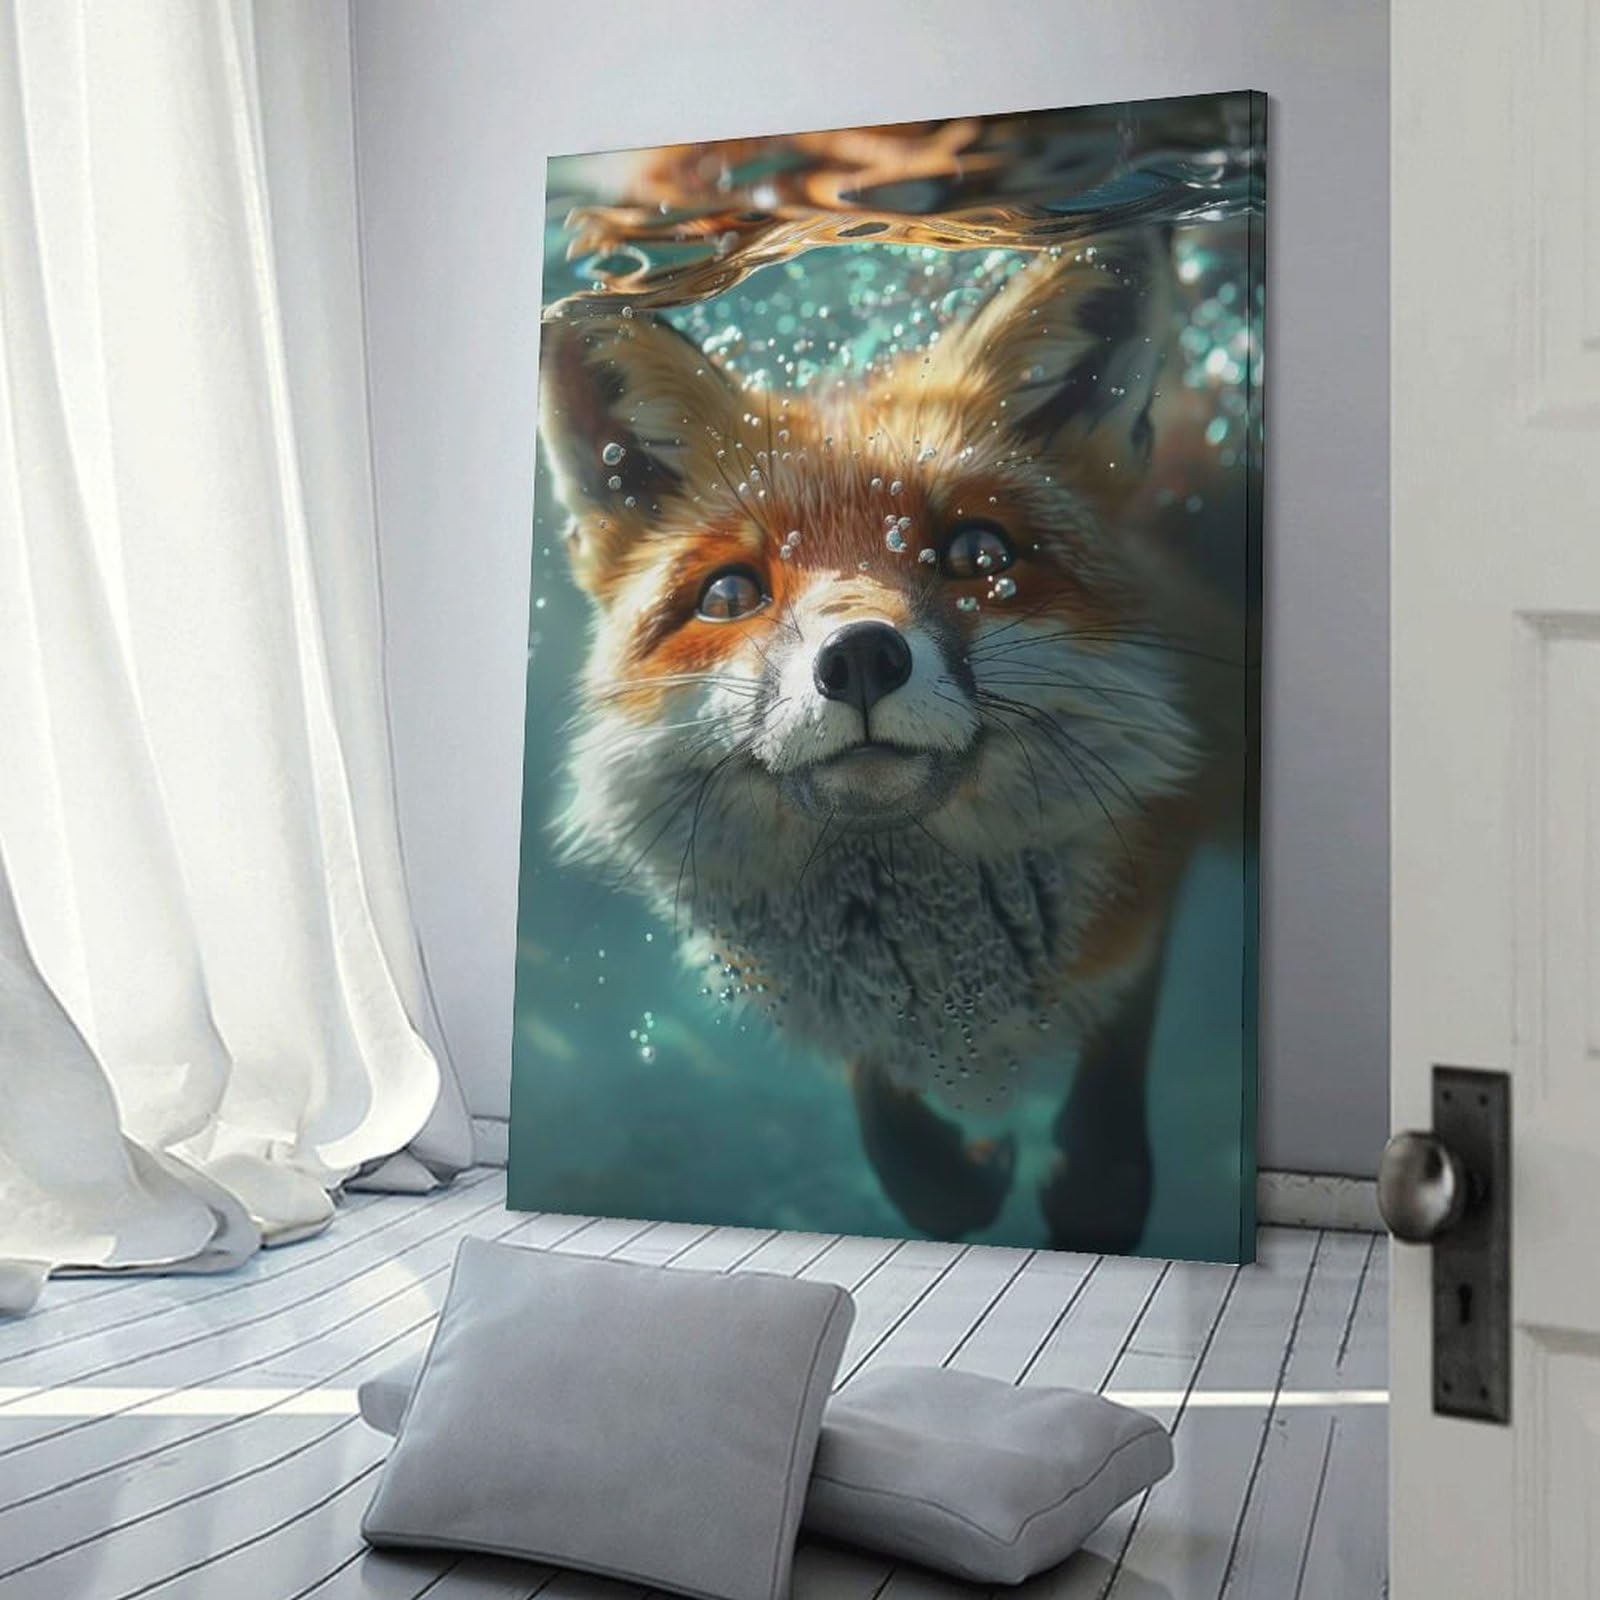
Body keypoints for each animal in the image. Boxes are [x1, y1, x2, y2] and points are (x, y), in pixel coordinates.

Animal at [536, 232, 1237, 1252]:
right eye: (731, 593)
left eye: (980, 554)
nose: (862, 656)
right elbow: (889, 1122)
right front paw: (951, 1172)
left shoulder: (1158, 848)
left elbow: (1118, 1045)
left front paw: (1095, 1181)